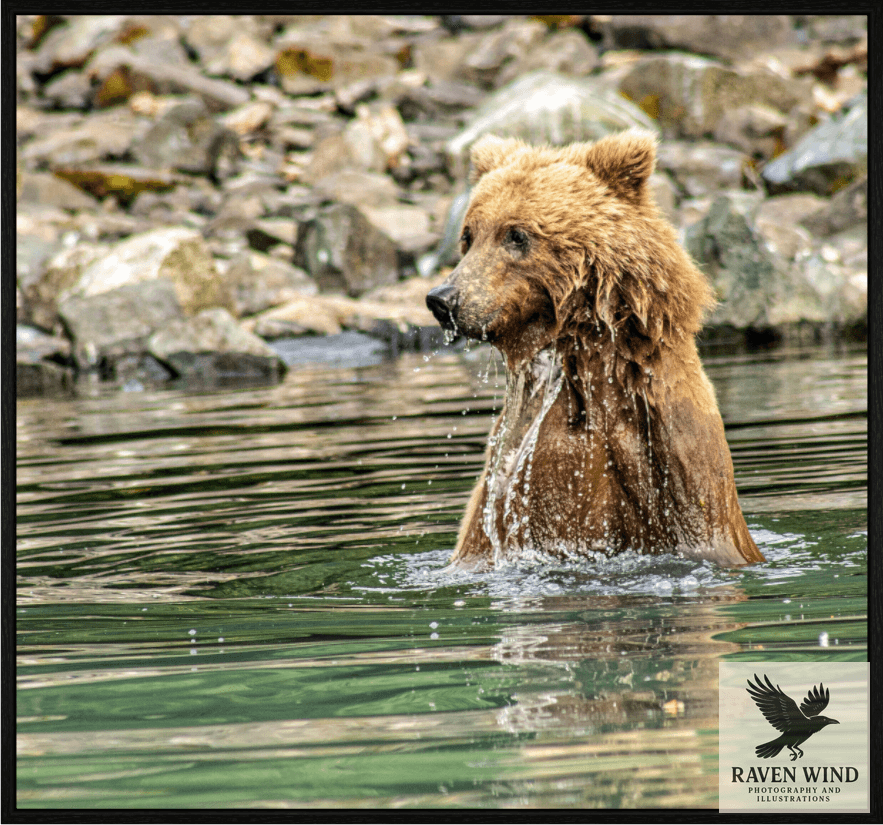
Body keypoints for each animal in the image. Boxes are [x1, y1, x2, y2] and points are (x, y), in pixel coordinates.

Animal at [426, 130, 764, 568]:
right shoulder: (513, 483)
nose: (443, 299)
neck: (587, 364)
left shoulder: (680, 464)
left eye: (516, 234)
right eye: (468, 236)